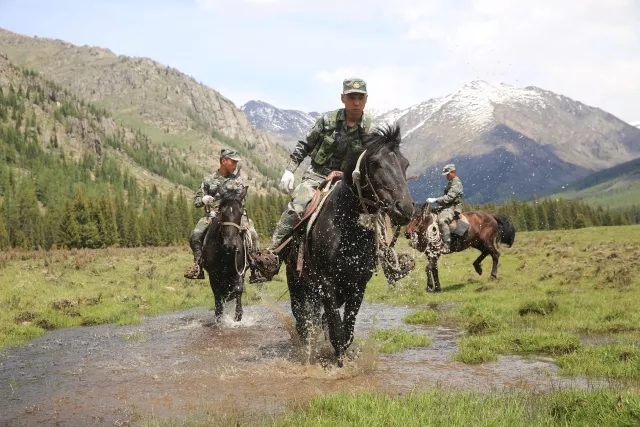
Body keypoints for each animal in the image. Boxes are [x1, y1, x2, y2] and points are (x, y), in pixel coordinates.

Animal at [201, 186, 249, 322]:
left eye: (241, 213)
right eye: (222, 212)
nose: (230, 245)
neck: (224, 253)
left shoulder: (239, 271)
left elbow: (238, 289)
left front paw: (238, 316)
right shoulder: (213, 274)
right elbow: (218, 295)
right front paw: (219, 318)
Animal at [284, 123, 416, 368]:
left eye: (405, 164)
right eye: (375, 163)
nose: (405, 209)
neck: (348, 229)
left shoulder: (357, 285)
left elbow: (347, 332)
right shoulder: (326, 284)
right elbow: (337, 331)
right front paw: (339, 366)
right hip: (298, 286)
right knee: (303, 324)